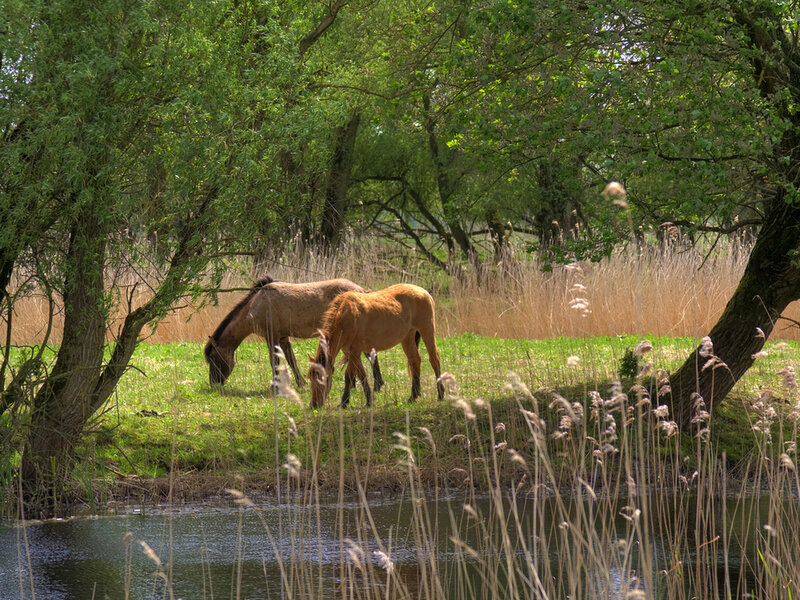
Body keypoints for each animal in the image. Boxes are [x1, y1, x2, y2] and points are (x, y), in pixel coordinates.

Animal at [204, 276, 384, 390]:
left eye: (213, 358)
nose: (213, 384)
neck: (256, 304)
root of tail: (361, 290)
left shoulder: (272, 337)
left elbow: (275, 361)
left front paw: (275, 386)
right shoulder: (283, 338)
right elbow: (291, 360)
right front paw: (300, 383)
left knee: (370, 355)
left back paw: (376, 385)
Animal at [308, 283, 445, 409]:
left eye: (323, 378)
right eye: (310, 377)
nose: (314, 405)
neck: (345, 315)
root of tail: (423, 291)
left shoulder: (355, 350)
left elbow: (349, 375)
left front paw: (344, 402)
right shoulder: (351, 352)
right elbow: (361, 375)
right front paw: (369, 400)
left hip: (427, 330)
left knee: (434, 360)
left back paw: (440, 394)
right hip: (407, 338)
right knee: (415, 360)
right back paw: (413, 396)